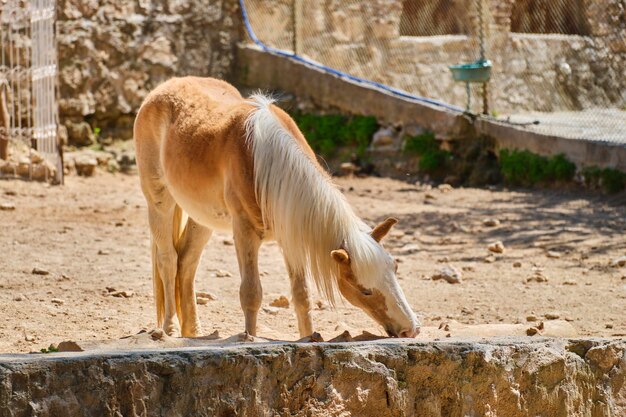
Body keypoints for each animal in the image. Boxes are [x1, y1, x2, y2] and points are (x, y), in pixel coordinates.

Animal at [134, 77, 420, 338]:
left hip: (202, 218)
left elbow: (302, 295)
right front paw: (249, 339)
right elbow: (251, 293)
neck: (264, 162)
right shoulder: (244, 232)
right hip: (159, 201)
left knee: (187, 263)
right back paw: (170, 328)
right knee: (169, 260)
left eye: (394, 269)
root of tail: (164, 87)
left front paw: (308, 337)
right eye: (365, 290)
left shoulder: (291, 233)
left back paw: (192, 332)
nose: (411, 329)